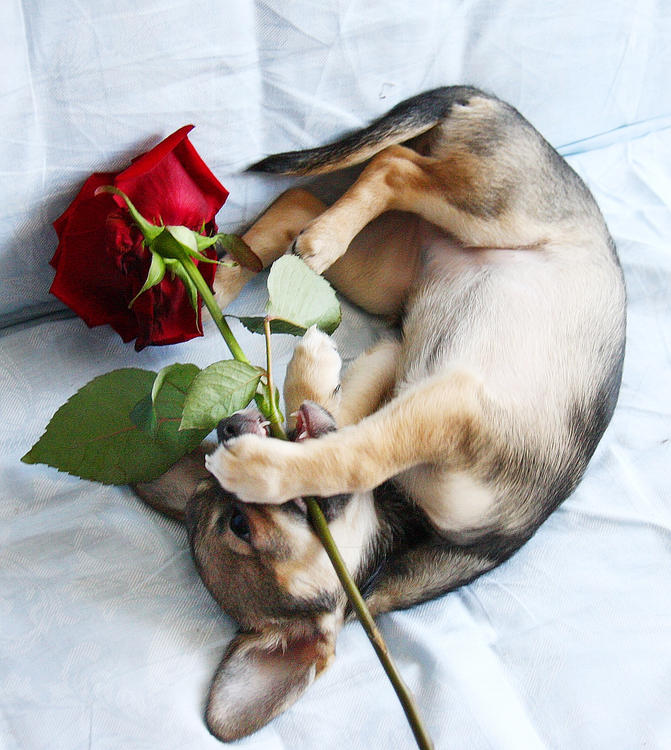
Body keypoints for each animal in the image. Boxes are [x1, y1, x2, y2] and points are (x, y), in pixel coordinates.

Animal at [134, 86, 626, 742]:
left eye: (240, 524)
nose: (229, 426)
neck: (404, 519)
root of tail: (491, 101)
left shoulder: (436, 394)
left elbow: (350, 442)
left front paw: (299, 387)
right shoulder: (420, 380)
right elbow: (351, 441)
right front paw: (296, 404)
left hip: (484, 215)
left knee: (377, 172)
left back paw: (228, 272)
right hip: (403, 265)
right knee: (354, 182)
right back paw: (230, 272)